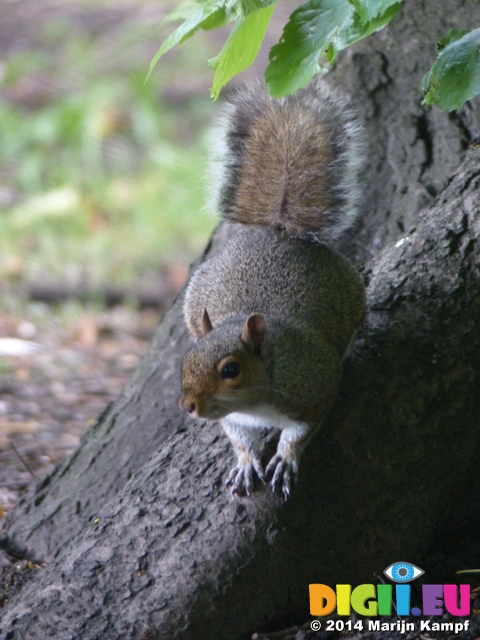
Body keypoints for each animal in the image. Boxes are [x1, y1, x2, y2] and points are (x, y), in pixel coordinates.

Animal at [178, 79, 366, 500]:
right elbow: (238, 437)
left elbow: (303, 429)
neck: (257, 401)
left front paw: (285, 457)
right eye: (186, 361)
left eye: (231, 369)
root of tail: (277, 230)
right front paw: (246, 462)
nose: (189, 405)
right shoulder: (236, 418)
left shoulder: (316, 385)